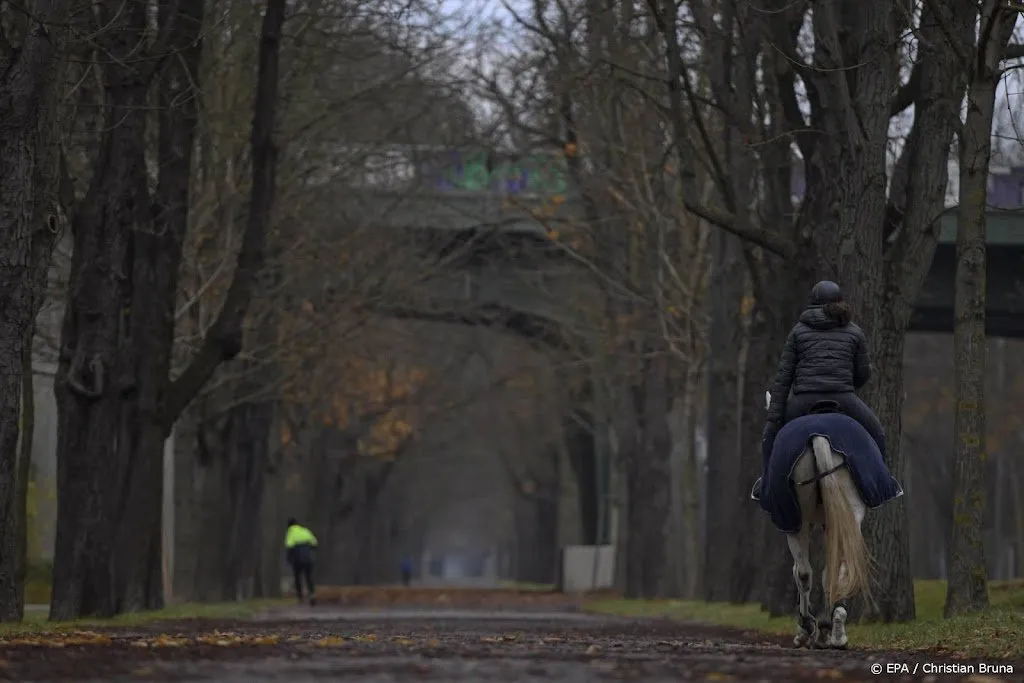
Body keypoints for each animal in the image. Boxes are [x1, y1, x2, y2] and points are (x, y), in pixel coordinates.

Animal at [765, 393, 876, 651]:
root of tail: (819, 436)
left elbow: (802, 573)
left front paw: (808, 631)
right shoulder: (830, 524)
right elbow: (828, 573)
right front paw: (826, 631)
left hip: (797, 523)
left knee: (804, 572)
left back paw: (810, 627)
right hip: (849, 516)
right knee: (840, 568)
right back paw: (836, 632)